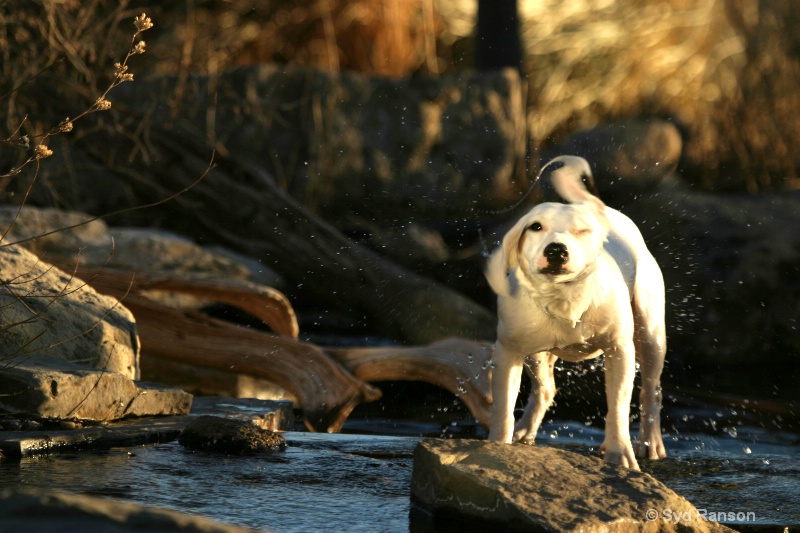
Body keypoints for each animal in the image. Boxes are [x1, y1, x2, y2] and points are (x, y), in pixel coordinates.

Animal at [488, 155, 668, 470]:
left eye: (581, 230)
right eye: (535, 227)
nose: (556, 250)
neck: (565, 298)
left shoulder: (620, 350)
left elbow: (618, 405)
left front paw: (620, 454)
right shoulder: (508, 352)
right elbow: (503, 408)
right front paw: (498, 445)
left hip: (651, 333)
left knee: (650, 389)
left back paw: (650, 442)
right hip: (535, 353)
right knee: (545, 389)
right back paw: (524, 431)